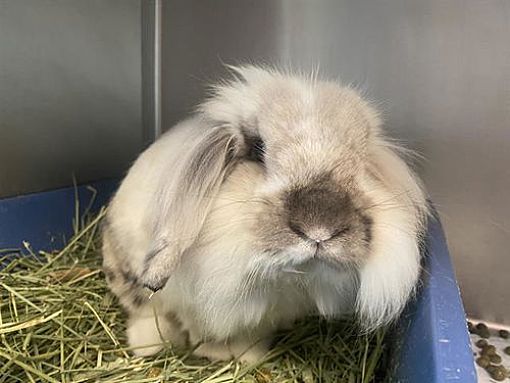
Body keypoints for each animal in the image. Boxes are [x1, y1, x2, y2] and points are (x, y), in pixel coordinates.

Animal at [101, 65, 428, 364]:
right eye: (257, 149)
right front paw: (210, 352)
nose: (320, 230)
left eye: (361, 160)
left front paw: (247, 357)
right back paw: (148, 346)